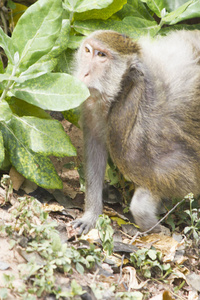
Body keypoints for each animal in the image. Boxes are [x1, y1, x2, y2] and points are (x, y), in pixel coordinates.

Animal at [72, 28, 200, 234]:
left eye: (101, 55)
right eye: (88, 51)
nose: (84, 73)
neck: (120, 93)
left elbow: (179, 173)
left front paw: (156, 227)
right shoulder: (92, 108)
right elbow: (96, 150)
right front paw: (91, 215)